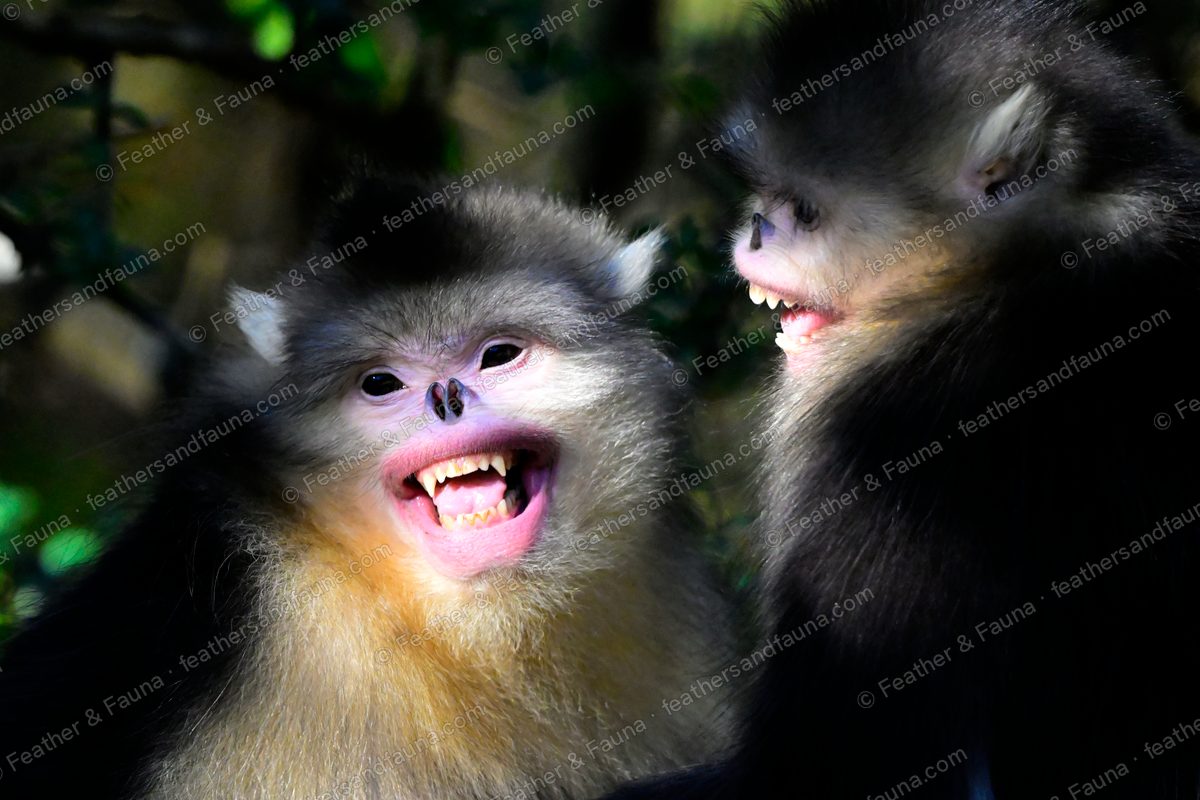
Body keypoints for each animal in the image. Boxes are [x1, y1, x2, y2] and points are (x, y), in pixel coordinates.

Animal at [608, 1, 1200, 798]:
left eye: (803, 211)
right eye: (766, 201)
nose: (756, 228)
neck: (1015, 269)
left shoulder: (880, 436)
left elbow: (836, 763)